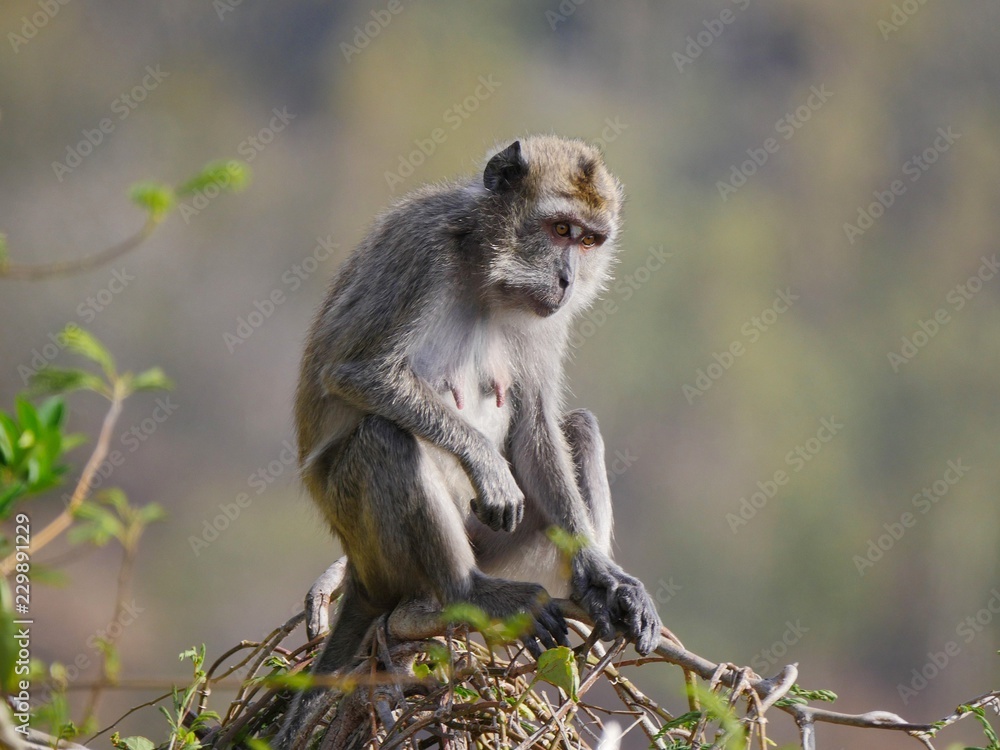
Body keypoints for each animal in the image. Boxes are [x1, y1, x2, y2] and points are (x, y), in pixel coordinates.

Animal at [278, 136, 661, 744]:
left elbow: (536, 428)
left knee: (579, 427)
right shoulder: (419, 250)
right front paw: (485, 462)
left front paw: (602, 576)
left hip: (497, 547)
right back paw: (467, 591)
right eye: (559, 230)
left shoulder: (547, 319)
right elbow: (355, 370)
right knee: (385, 436)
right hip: (378, 547)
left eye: (588, 241)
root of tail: (359, 569)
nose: (567, 279)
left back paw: (589, 588)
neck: (488, 274)